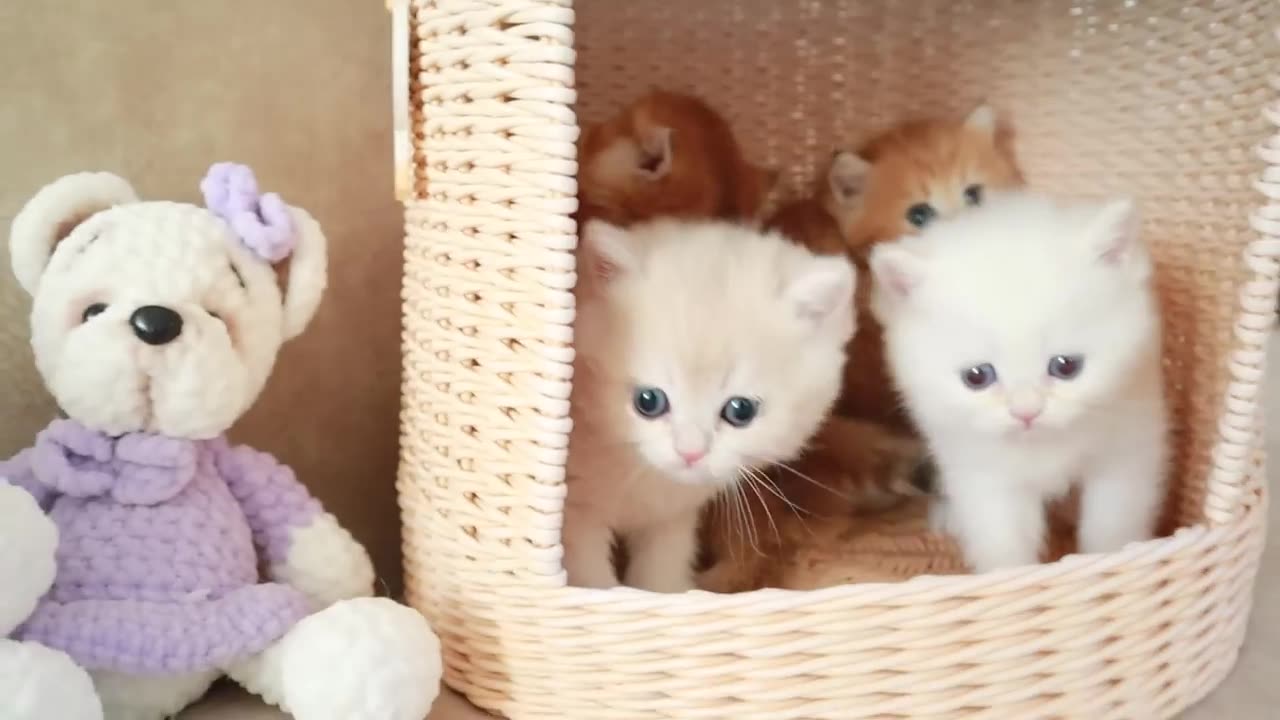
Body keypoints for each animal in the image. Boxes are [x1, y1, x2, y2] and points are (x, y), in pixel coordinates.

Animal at [565, 217, 855, 589]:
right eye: (648, 401)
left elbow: (662, 563)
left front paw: (666, 590)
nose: (690, 453)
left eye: (740, 410)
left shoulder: (673, 517)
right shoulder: (575, 511)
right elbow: (590, 577)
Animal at [870, 189, 1172, 571]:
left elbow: (1113, 521)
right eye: (976, 377)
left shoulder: (1130, 440)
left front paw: (1111, 561)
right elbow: (1002, 539)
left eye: (1066, 366)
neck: (1043, 445)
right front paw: (1012, 575)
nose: (1026, 412)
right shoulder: (980, 467)